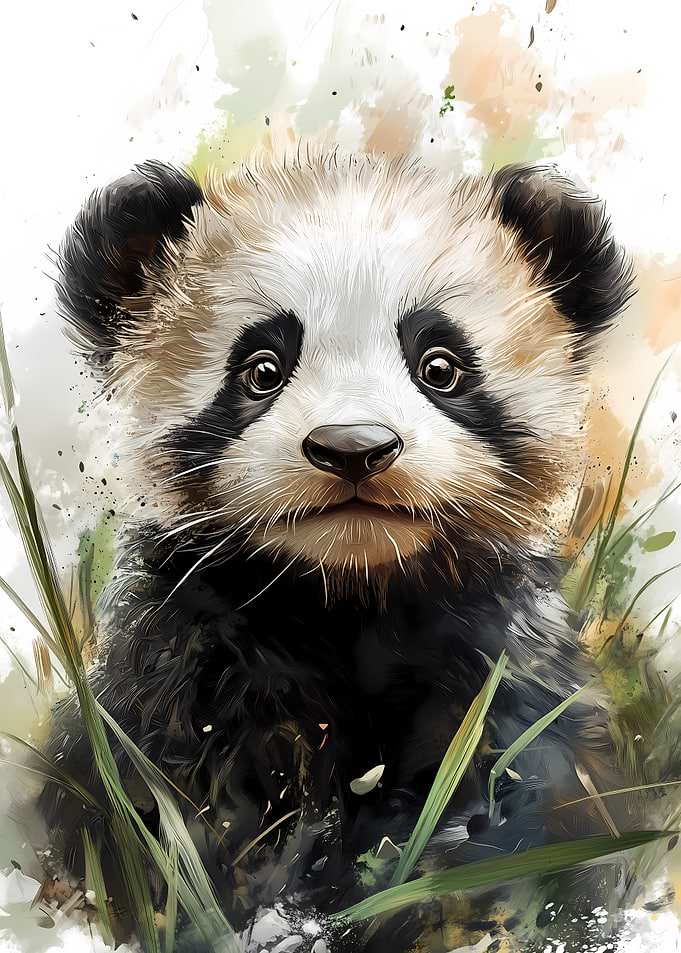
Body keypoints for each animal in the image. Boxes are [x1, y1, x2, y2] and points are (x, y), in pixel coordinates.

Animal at [39, 148, 639, 952]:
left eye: (440, 365)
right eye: (261, 368)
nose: (353, 447)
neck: (350, 595)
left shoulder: (498, 665)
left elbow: (530, 814)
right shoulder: (188, 670)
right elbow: (162, 819)